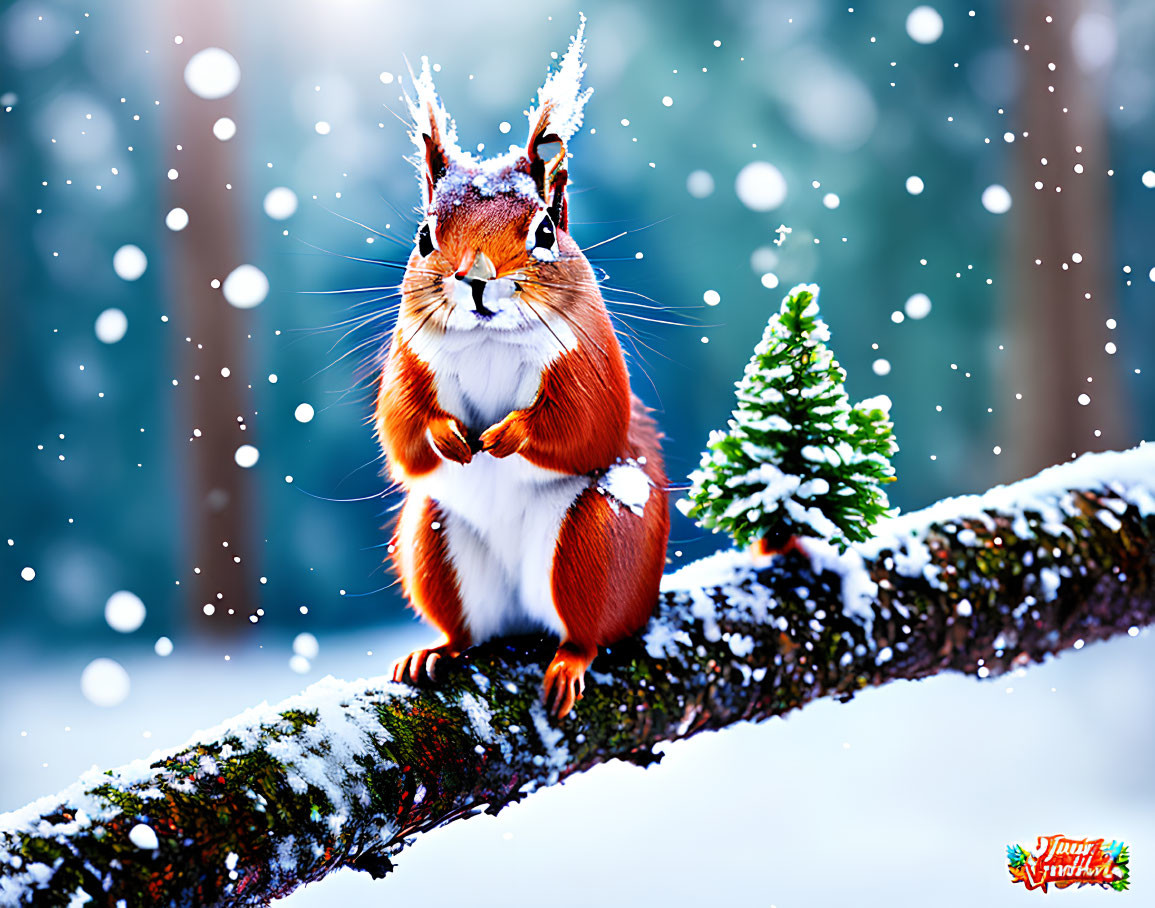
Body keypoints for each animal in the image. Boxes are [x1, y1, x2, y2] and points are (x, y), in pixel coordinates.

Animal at [374, 17, 674, 716]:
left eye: (544, 232)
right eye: (424, 238)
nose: (476, 279)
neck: (489, 339)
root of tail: (523, 617)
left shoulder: (588, 359)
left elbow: (585, 425)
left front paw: (509, 434)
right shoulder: (409, 359)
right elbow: (403, 432)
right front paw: (449, 437)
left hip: (597, 544)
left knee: (589, 628)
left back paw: (569, 659)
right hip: (434, 541)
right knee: (467, 627)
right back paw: (435, 651)